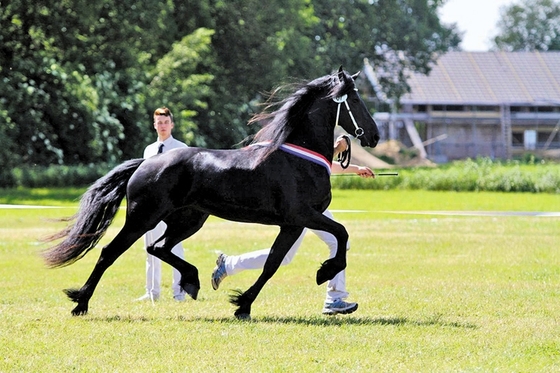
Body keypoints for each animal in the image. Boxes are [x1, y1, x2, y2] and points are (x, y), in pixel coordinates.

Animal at [43, 66, 380, 316]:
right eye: (355, 99)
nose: (374, 136)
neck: (298, 158)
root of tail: (147, 162)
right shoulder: (302, 216)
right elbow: (341, 233)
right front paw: (325, 271)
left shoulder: (292, 224)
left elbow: (272, 263)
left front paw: (242, 305)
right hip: (143, 218)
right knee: (110, 253)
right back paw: (80, 303)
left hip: (188, 219)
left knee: (159, 248)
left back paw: (192, 282)